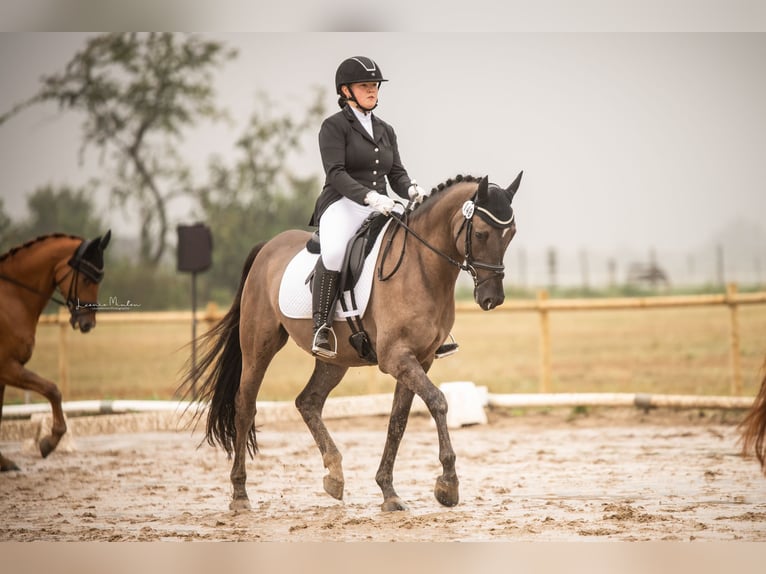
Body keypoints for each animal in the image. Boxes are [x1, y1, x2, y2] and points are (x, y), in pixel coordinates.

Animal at [0, 231, 112, 472]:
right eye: (86, 279)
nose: (88, 324)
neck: (13, 297)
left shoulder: (5, 372)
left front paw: (3, 462)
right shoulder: (6, 366)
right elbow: (53, 389)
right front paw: (49, 443)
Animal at [183, 173, 524, 510]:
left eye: (511, 235)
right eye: (480, 233)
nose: (492, 298)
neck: (421, 268)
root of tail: (268, 246)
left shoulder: (419, 359)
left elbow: (397, 422)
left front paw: (388, 491)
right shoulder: (397, 358)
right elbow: (438, 401)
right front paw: (448, 485)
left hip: (335, 359)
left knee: (308, 402)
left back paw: (334, 475)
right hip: (258, 346)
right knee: (245, 406)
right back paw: (240, 494)